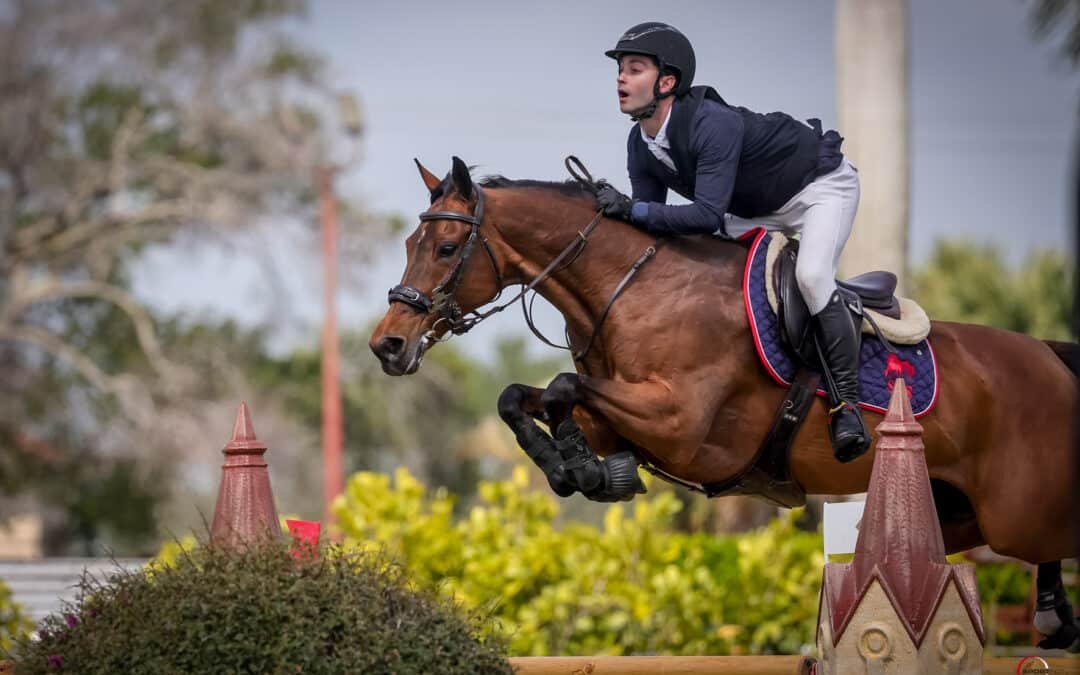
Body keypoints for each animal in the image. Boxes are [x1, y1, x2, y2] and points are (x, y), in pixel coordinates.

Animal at [370, 157, 1078, 648]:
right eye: (408, 245)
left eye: (446, 248)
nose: (387, 345)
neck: (630, 288)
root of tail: (1047, 355)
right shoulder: (620, 414)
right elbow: (520, 397)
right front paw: (582, 471)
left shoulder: (681, 425)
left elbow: (565, 390)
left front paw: (587, 472)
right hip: (958, 514)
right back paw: (1054, 615)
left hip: (1016, 512)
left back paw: (1053, 615)